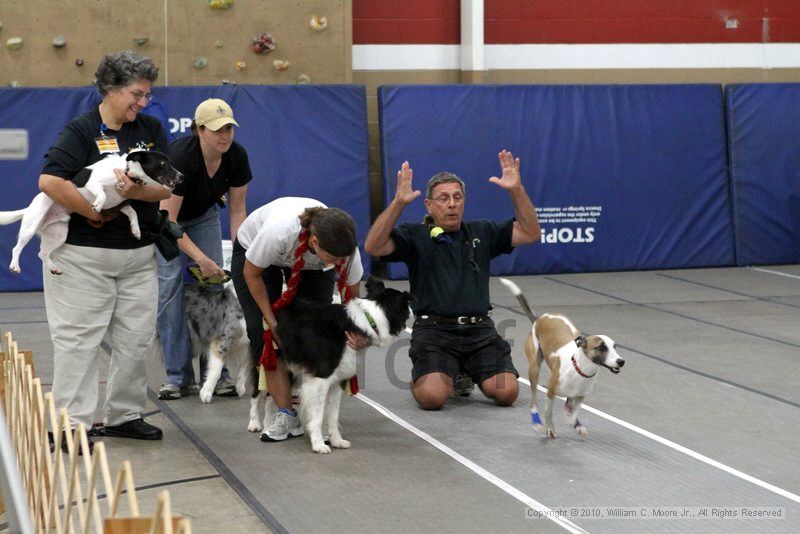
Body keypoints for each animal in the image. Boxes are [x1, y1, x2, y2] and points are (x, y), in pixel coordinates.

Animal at [500, 278, 624, 438]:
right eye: (601, 348)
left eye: (614, 347)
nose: (621, 362)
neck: (581, 370)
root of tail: (540, 319)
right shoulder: (551, 391)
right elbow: (549, 412)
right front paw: (550, 428)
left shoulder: (581, 395)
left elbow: (574, 409)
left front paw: (573, 421)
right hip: (534, 367)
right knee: (534, 399)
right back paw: (536, 422)